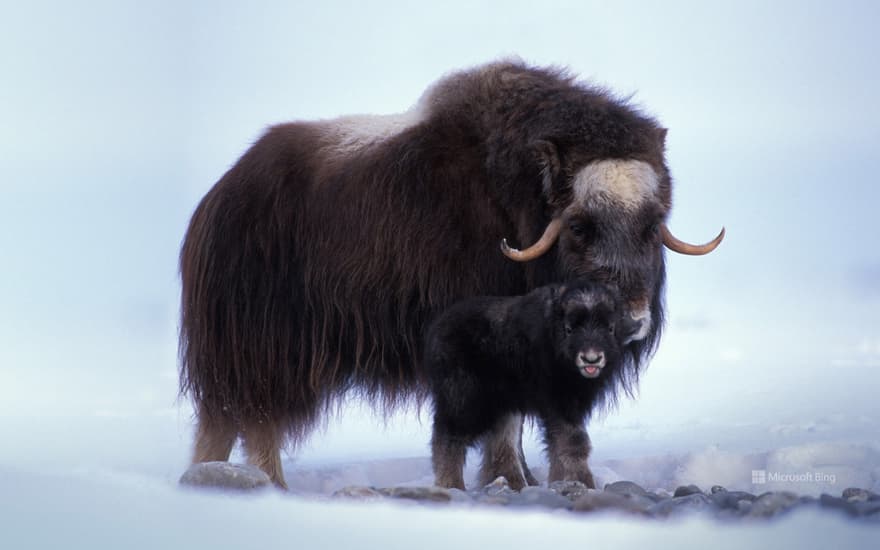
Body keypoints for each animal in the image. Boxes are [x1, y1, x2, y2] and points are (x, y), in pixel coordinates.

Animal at [426, 280, 632, 492]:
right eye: (569, 328)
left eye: (610, 328)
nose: (591, 359)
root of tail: (437, 328)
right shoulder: (560, 403)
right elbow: (574, 441)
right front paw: (586, 483)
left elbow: (557, 444)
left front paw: (560, 481)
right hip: (463, 400)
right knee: (448, 436)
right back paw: (451, 485)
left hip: (504, 405)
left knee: (501, 441)